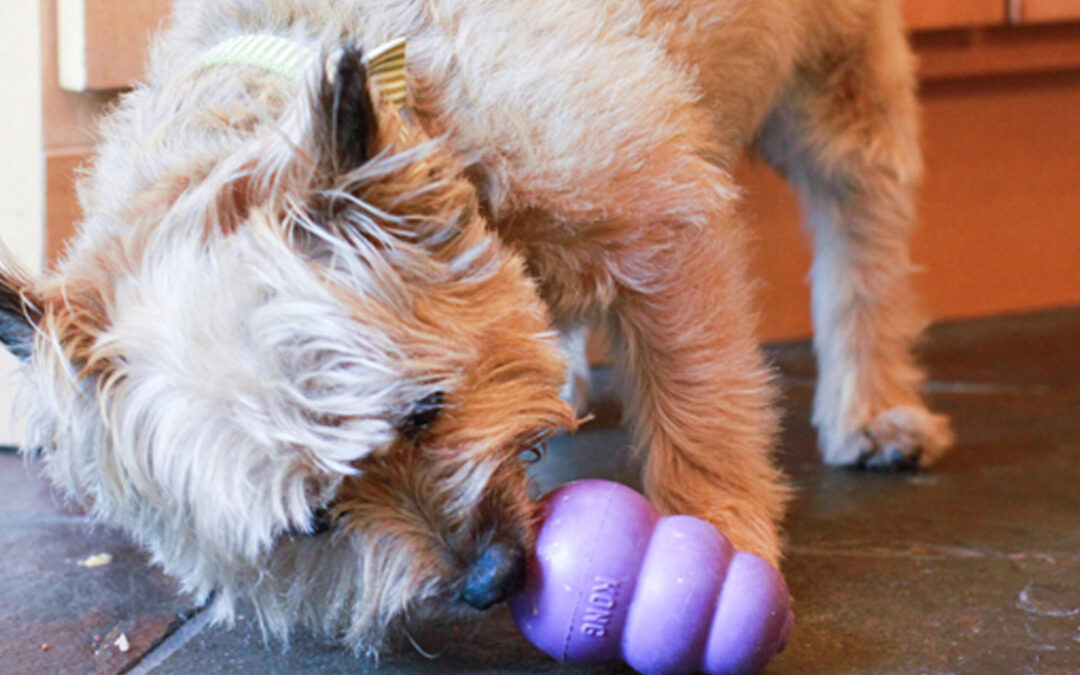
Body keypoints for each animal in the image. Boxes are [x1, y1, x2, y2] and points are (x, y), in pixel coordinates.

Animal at [0, 0, 950, 656]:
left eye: (426, 409)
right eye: (314, 520)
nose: (491, 580)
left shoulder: (663, 231)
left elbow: (700, 406)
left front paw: (717, 536)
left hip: (837, 86)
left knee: (862, 233)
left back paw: (873, 405)